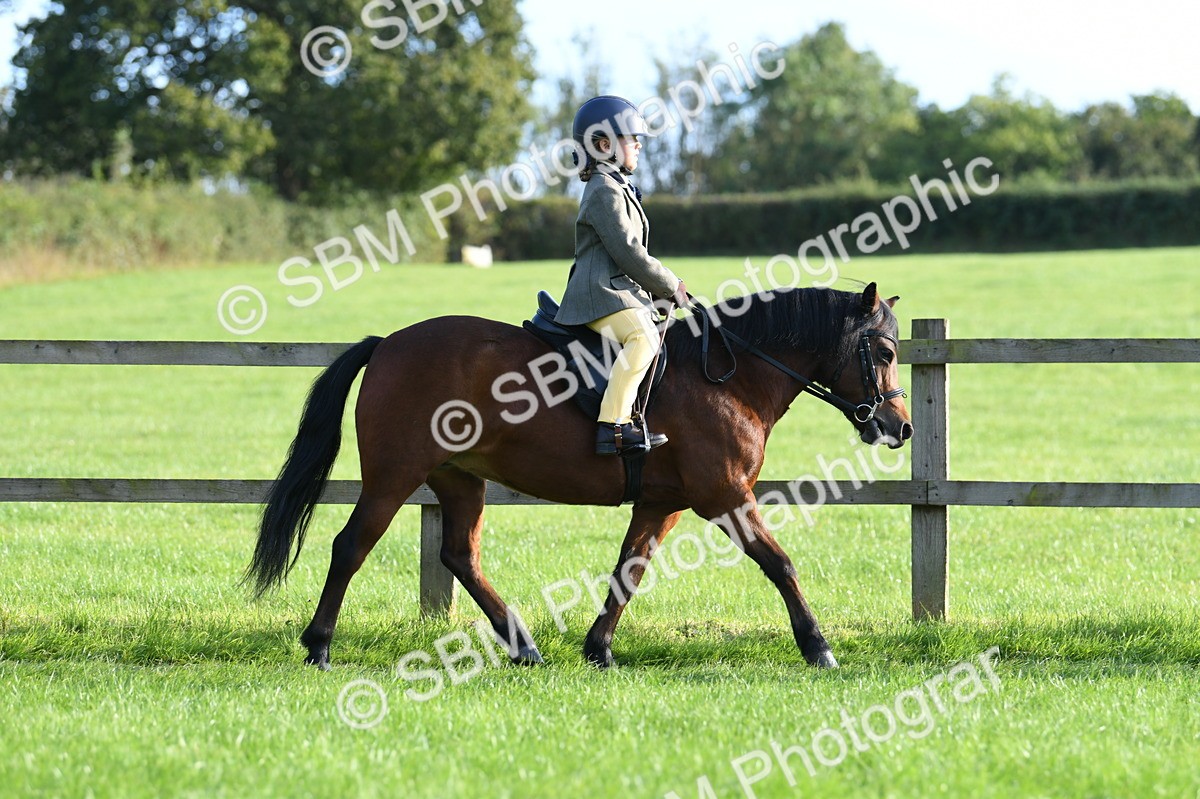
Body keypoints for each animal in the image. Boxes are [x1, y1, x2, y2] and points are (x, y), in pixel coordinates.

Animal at [245, 282, 913, 670]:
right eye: (882, 352)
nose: (899, 427)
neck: (728, 375)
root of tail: (388, 344)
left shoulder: (663, 503)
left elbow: (629, 570)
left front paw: (599, 648)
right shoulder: (724, 495)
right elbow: (781, 564)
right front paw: (818, 647)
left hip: (459, 477)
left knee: (460, 555)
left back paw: (523, 646)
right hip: (394, 476)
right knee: (351, 546)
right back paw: (319, 646)